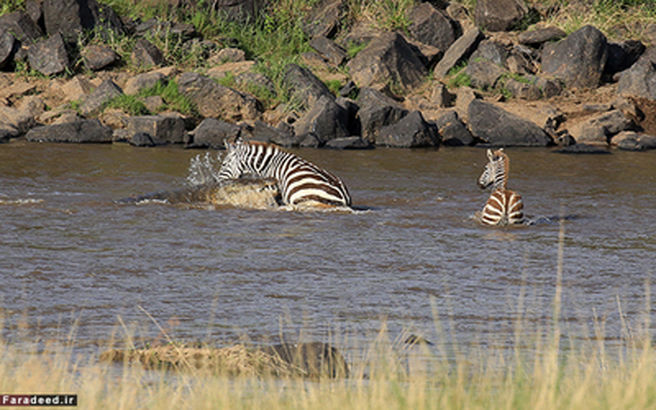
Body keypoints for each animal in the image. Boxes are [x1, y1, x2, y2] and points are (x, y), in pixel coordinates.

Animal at [218, 137, 352, 208]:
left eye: (224, 164)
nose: (218, 182)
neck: (269, 163)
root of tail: (344, 197)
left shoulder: (273, 185)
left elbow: (256, 191)